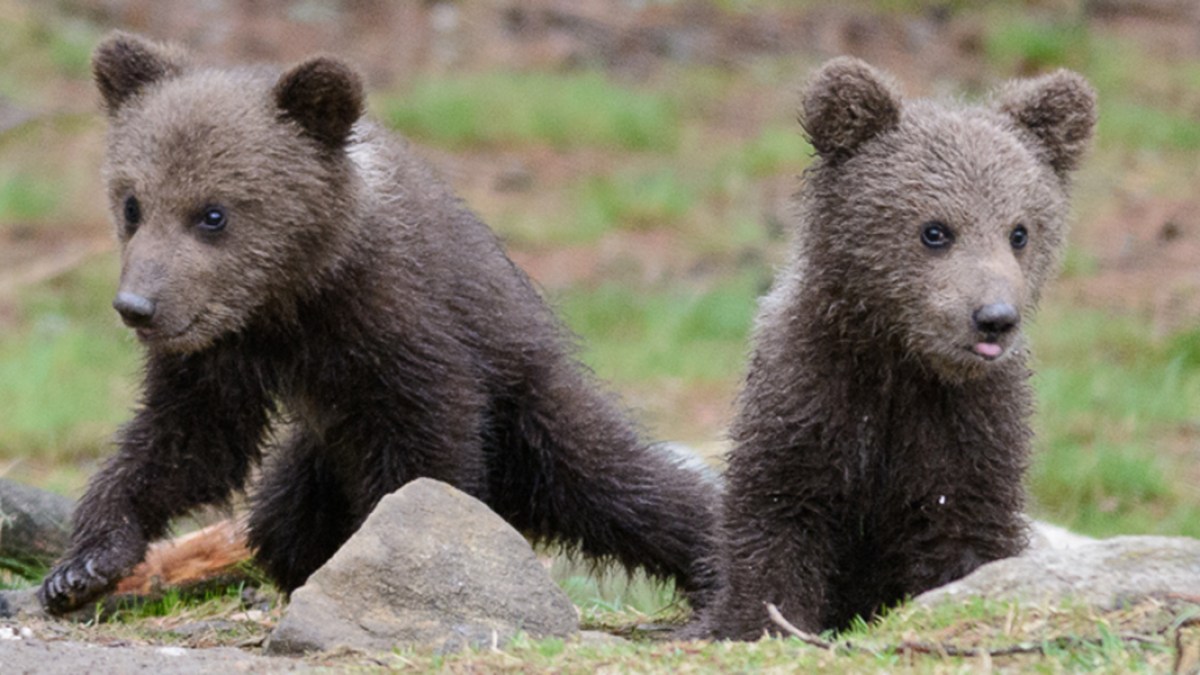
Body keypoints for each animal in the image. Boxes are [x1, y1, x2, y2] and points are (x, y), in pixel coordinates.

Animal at [38, 31, 719, 615]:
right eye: (132, 203)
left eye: (213, 213)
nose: (137, 307)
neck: (293, 296)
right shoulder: (223, 353)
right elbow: (187, 442)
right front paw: (82, 566)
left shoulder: (404, 333)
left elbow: (423, 460)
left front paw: (395, 559)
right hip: (318, 458)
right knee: (281, 522)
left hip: (528, 408)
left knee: (626, 484)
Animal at [699, 57, 1096, 639]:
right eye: (935, 230)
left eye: (1019, 231)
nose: (994, 319)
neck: (899, 363)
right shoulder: (810, 401)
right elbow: (778, 518)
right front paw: (762, 621)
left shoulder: (969, 430)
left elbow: (968, 538)